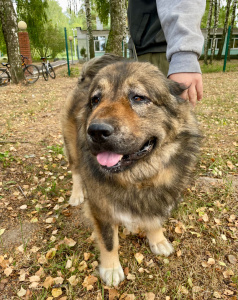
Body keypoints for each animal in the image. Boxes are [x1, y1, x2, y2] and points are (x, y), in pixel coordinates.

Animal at [61, 54, 201, 286]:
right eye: (95, 100)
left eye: (138, 98)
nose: (96, 131)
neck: (138, 176)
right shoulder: (101, 209)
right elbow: (109, 241)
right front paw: (110, 268)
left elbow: (154, 219)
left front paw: (157, 239)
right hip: (71, 148)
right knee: (76, 173)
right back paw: (77, 194)